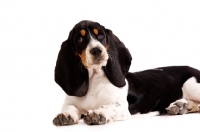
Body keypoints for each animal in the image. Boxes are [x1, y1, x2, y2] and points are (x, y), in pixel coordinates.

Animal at [52, 20, 200, 126]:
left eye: (100, 35)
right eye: (80, 39)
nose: (97, 50)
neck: (93, 80)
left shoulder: (122, 106)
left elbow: (109, 106)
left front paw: (99, 112)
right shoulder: (69, 102)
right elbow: (69, 107)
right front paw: (65, 115)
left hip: (192, 85)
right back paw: (180, 106)